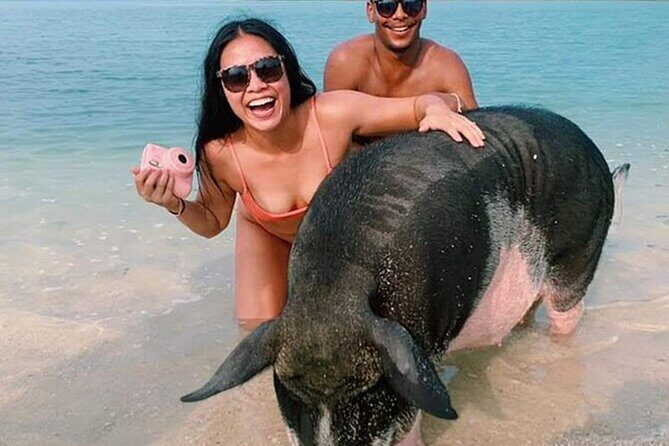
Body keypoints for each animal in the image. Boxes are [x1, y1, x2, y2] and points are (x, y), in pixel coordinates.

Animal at [180, 106, 630, 445]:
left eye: (368, 393)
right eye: (290, 391)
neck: (332, 290)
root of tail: (601, 162)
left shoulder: (419, 342)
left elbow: (413, 410)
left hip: (581, 248)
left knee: (568, 308)